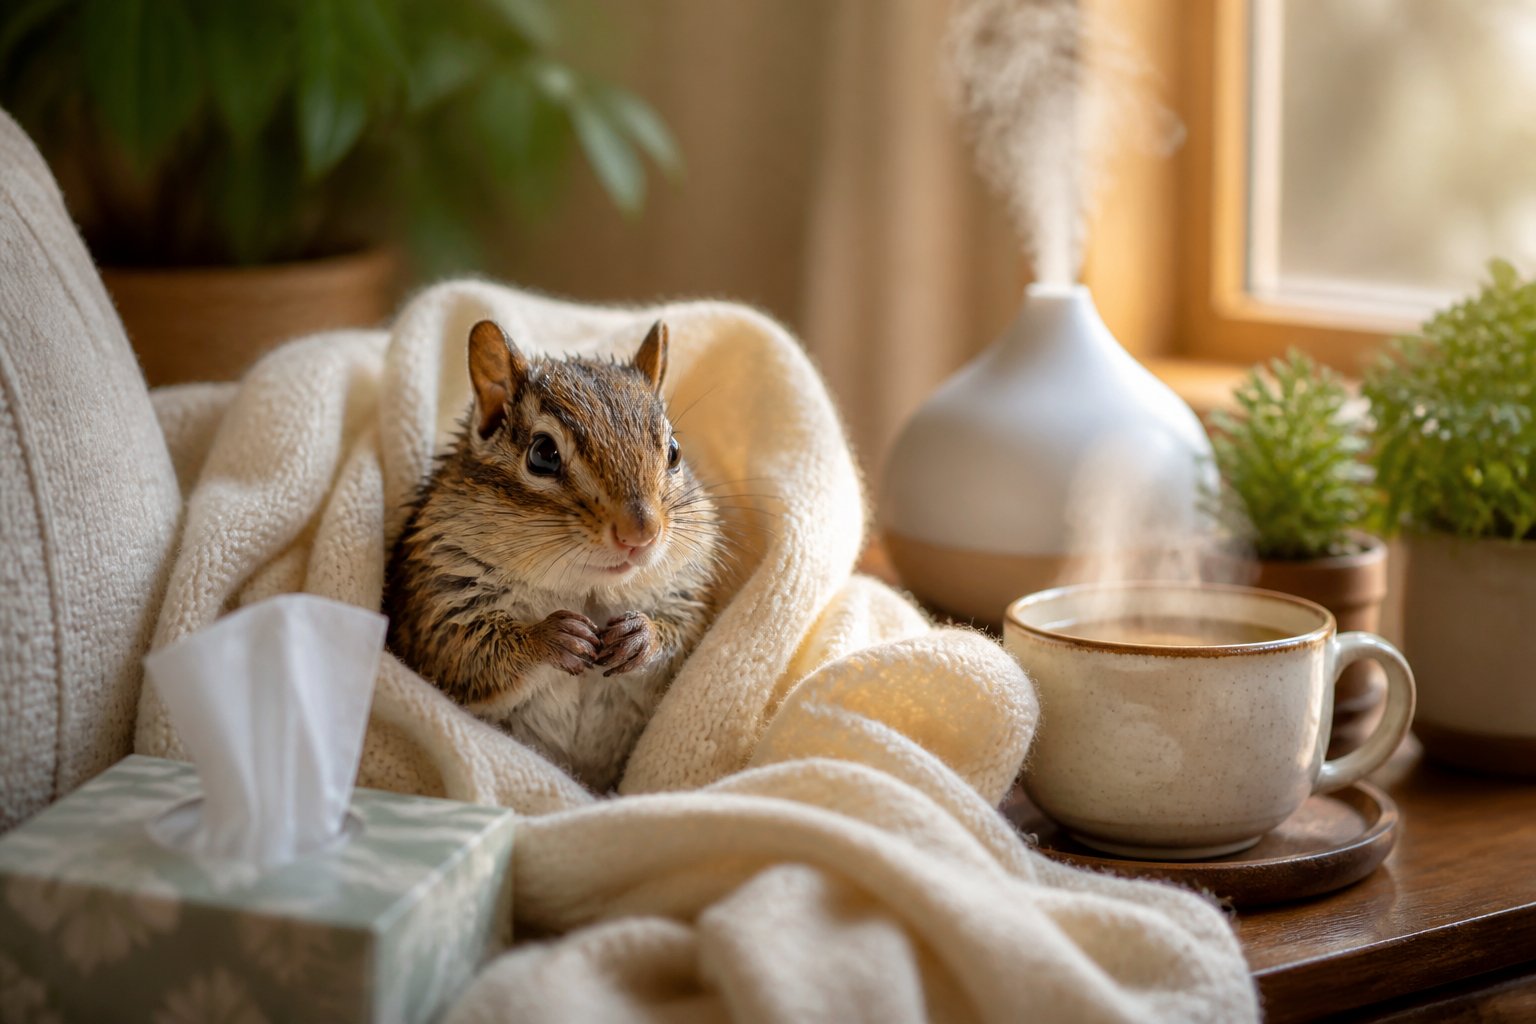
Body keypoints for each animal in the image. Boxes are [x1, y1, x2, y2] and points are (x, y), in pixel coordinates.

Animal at [384, 318, 722, 793]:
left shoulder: (686, 594)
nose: (641, 533)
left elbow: (683, 634)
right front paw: (551, 637)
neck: (587, 589)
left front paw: (642, 636)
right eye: (543, 454)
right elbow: (466, 650)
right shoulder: (436, 602)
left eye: (674, 451)